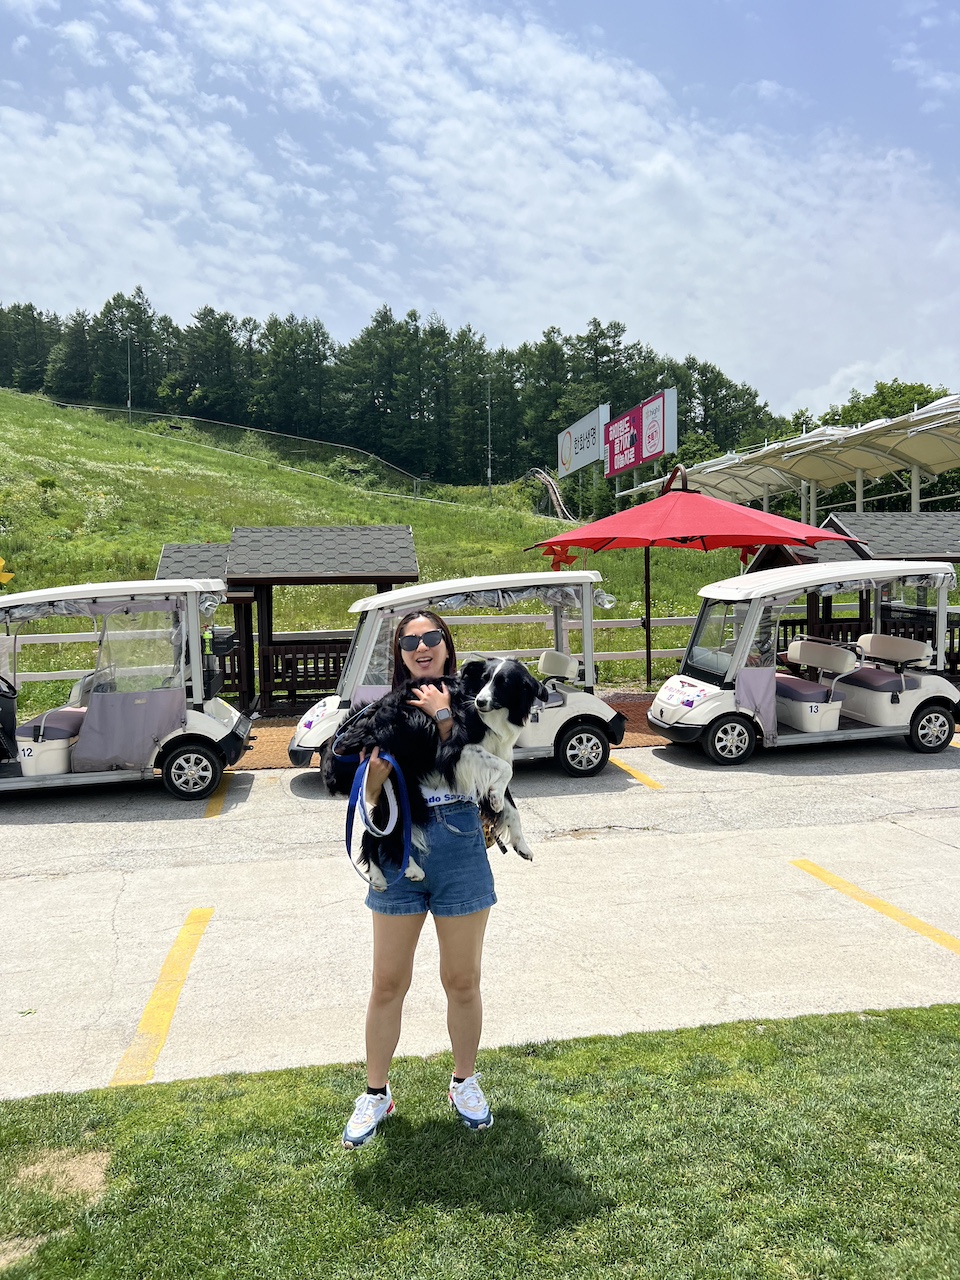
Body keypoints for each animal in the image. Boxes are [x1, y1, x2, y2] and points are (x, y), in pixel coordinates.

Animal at [325, 660, 545, 890]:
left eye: (504, 684)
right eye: (485, 678)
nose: (480, 702)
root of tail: (334, 752)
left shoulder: (494, 750)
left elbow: (511, 804)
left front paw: (519, 840)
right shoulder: (455, 752)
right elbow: (505, 768)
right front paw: (496, 798)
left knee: (373, 832)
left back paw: (377, 877)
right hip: (398, 783)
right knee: (389, 832)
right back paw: (411, 869)